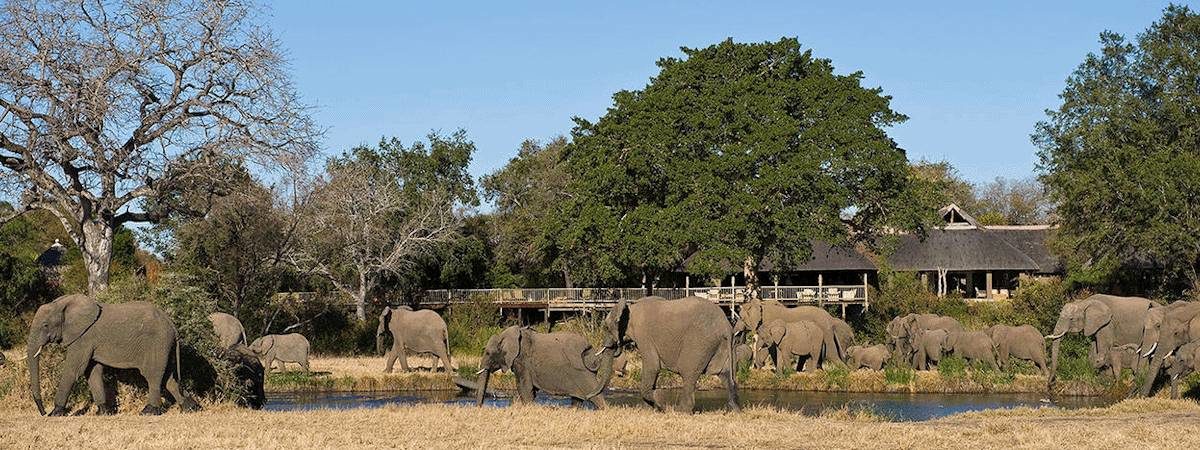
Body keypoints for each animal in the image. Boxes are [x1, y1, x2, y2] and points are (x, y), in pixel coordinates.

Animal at [26, 294, 199, 417]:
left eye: (45, 325)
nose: (43, 412)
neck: (62, 304)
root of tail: (172, 324)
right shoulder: (89, 342)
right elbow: (92, 372)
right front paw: (103, 412)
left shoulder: (83, 338)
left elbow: (74, 370)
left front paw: (55, 413)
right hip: (164, 345)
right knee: (168, 378)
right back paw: (191, 408)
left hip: (158, 342)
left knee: (153, 375)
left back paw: (148, 411)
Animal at [472, 326, 614, 410]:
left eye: (488, 353)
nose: (479, 408)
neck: (504, 335)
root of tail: (589, 348)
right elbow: (530, 390)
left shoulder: (521, 361)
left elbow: (524, 387)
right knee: (577, 399)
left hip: (583, 372)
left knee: (596, 396)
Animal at [600, 297, 739, 415]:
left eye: (606, 328)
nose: (613, 347)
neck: (630, 308)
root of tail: (726, 326)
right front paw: (647, 410)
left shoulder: (644, 335)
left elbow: (653, 366)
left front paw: (660, 406)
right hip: (723, 345)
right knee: (726, 375)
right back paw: (734, 410)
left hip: (700, 343)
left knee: (688, 373)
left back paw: (680, 411)